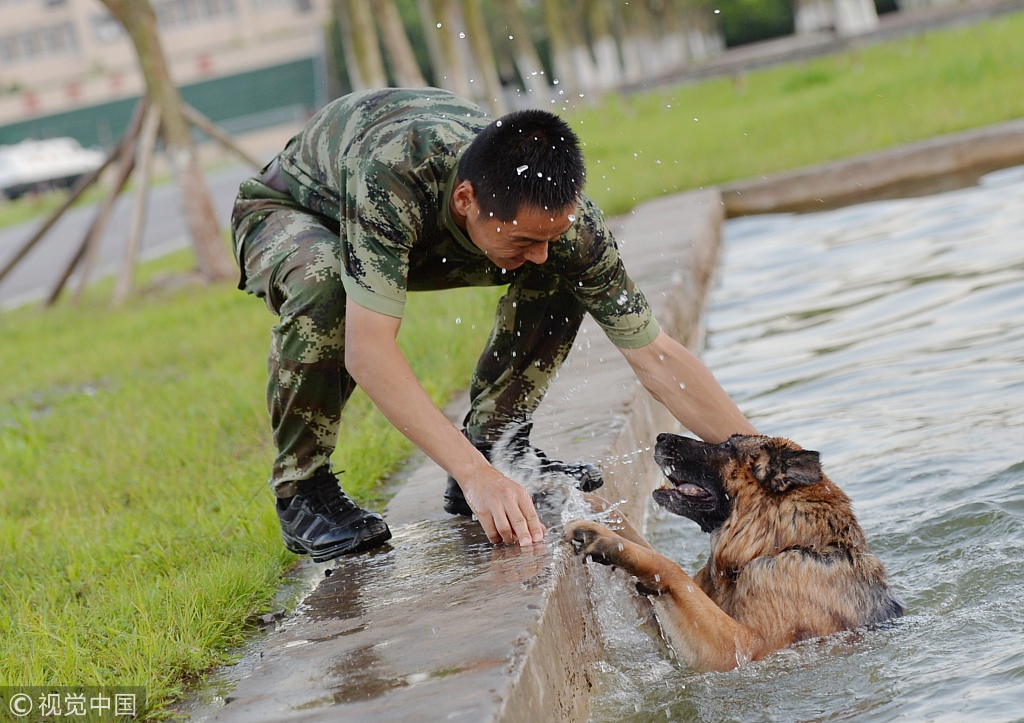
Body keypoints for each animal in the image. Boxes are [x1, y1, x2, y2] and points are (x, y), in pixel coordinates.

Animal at [561, 428, 905, 671]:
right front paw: (592, 504)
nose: (659, 437)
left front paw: (606, 539)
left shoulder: (744, 649)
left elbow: (668, 566)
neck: (779, 545)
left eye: (726, 448)